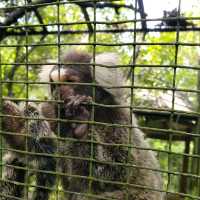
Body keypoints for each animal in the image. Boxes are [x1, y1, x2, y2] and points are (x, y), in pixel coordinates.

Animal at [39, 50, 164, 200]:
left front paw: (81, 125)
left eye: (70, 81)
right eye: (55, 84)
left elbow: (119, 169)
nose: (58, 94)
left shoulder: (118, 118)